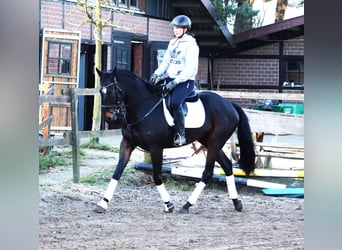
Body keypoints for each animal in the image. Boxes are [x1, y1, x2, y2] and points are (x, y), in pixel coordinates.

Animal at [93, 68, 254, 213]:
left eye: (112, 91)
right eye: (101, 91)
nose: (110, 118)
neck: (142, 107)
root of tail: (229, 104)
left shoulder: (156, 148)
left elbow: (157, 176)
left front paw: (168, 205)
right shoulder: (127, 144)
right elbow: (117, 173)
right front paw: (102, 204)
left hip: (215, 142)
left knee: (208, 173)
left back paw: (187, 205)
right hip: (208, 142)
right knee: (227, 165)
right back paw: (236, 202)